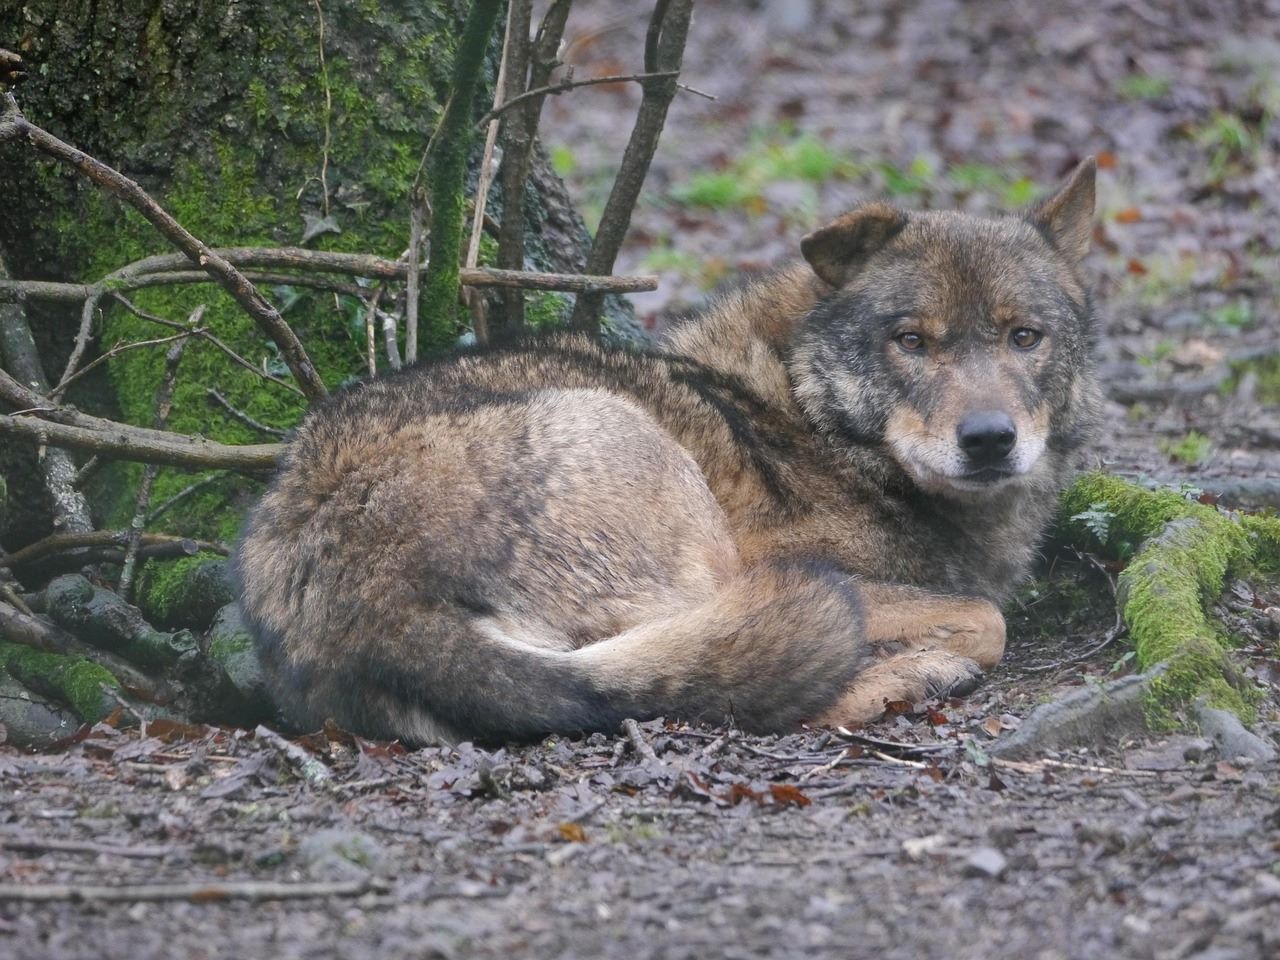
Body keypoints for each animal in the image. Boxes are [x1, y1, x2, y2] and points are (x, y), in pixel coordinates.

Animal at [232, 158, 1101, 745]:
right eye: (912, 341)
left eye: (1024, 337)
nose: (988, 440)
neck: (805, 409)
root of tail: (375, 605)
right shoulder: (793, 560)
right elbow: (987, 615)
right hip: (660, 485)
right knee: (728, 683)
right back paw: (906, 678)